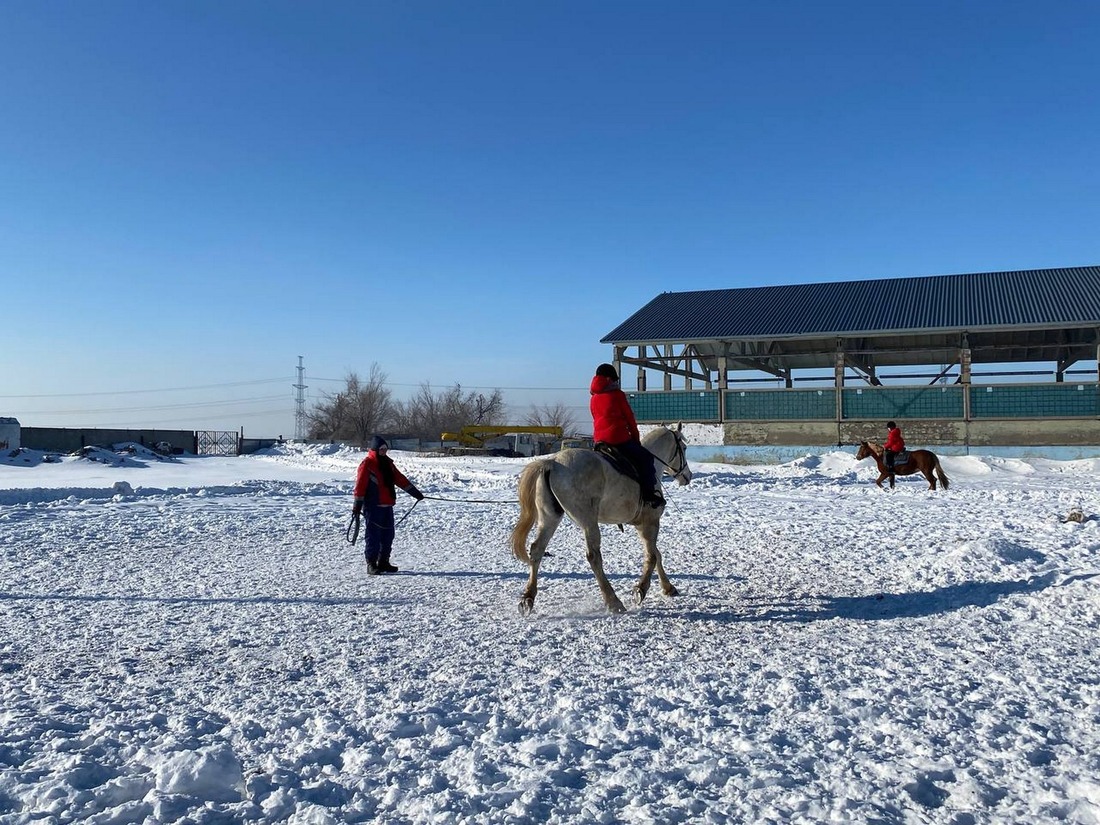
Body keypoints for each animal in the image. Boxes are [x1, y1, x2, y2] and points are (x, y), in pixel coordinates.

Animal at [510, 426, 690, 616]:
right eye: (684, 448)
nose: (688, 475)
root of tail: (552, 463)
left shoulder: (642, 525)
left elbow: (656, 553)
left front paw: (668, 587)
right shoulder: (650, 522)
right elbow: (653, 556)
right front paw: (641, 589)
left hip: (550, 518)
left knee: (537, 549)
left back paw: (528, 597)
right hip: (588, 521)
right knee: (593, 556)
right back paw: (613, 601)